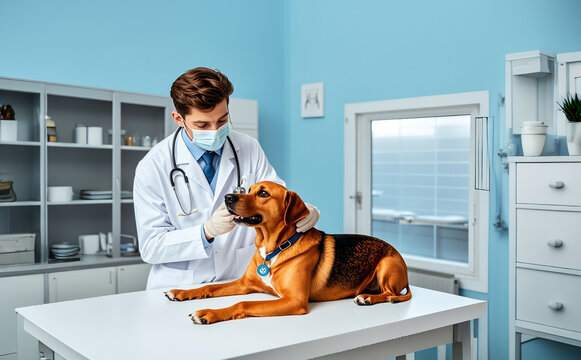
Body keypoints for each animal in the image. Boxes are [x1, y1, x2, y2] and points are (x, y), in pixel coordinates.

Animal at [163, 181, 410, 324]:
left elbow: (243, 304)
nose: (227, 197)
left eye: (263, 193)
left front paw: (208, 313)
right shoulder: (244, 284)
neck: (273, 249)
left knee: (390, 294)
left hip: (386, 265)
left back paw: (368, 298)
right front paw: (181, 292)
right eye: (248, 190)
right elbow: (209, 287)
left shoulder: (294, 300)